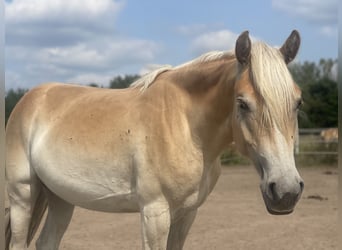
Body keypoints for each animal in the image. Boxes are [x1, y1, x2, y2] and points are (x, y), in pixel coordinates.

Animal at [5, 30, 304, 249]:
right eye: (242, 103)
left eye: (298, 103)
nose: (286, 191)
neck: (185, 125)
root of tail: (30, 99)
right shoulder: (154, 213)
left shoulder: (187, 213)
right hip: (22, 196)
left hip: (61, 198)